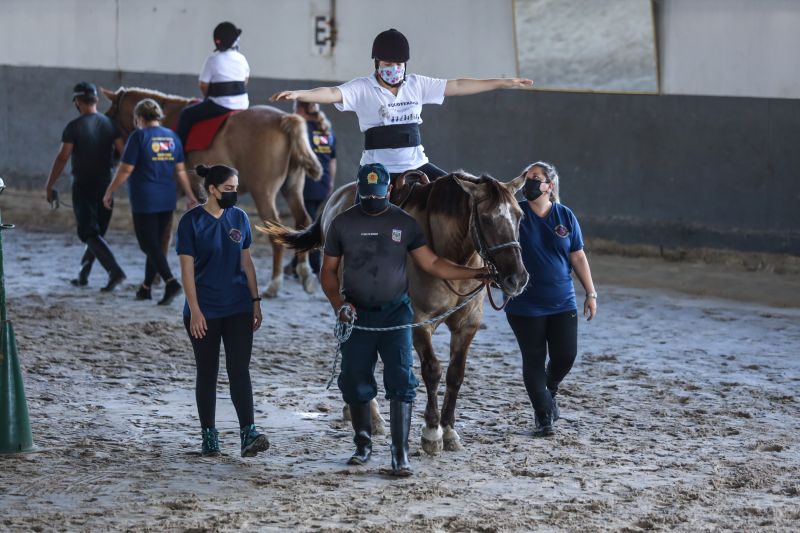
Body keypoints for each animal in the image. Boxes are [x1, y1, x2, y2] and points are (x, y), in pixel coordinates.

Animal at [100, 85, 322, 298]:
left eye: (110, 116)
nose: (112, 156)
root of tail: (283, 120)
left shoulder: (170, 195)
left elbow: (162, 237)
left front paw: (156, 279)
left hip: (263, 193)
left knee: (275, 230)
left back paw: (274, 285)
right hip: (292, 187)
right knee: (302, 221)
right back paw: (305, 274)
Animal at [260, 172, 528, 456]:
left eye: (520, 215)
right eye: (486, 218)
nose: (517, 278)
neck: (450, 253)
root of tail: (336, 196)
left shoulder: (467, 324)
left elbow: (456, 374)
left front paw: (449, 431)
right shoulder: (419, 321)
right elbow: (432, 371)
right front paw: (432, 433)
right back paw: (372, 415)